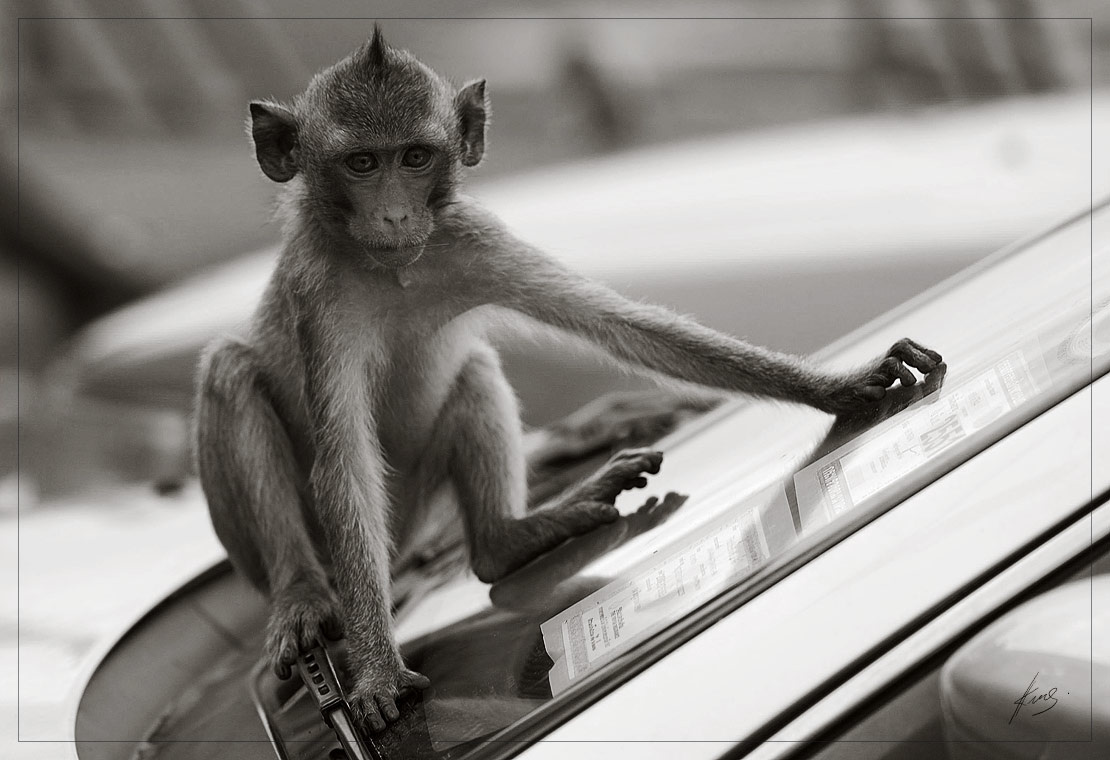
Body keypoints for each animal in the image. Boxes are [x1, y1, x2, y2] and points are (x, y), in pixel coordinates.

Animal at [194, 26, 942, 733]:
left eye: (413, 158)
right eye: (361, 163)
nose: (395, 214)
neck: (394, 270)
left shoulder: (471, 238)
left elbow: (624, 326)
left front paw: (839, 388)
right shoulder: (319, 293)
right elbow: (344, 461)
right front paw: (378, 669)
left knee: (473, 374)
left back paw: (509, 539)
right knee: (230, 373)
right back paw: (304, 595)